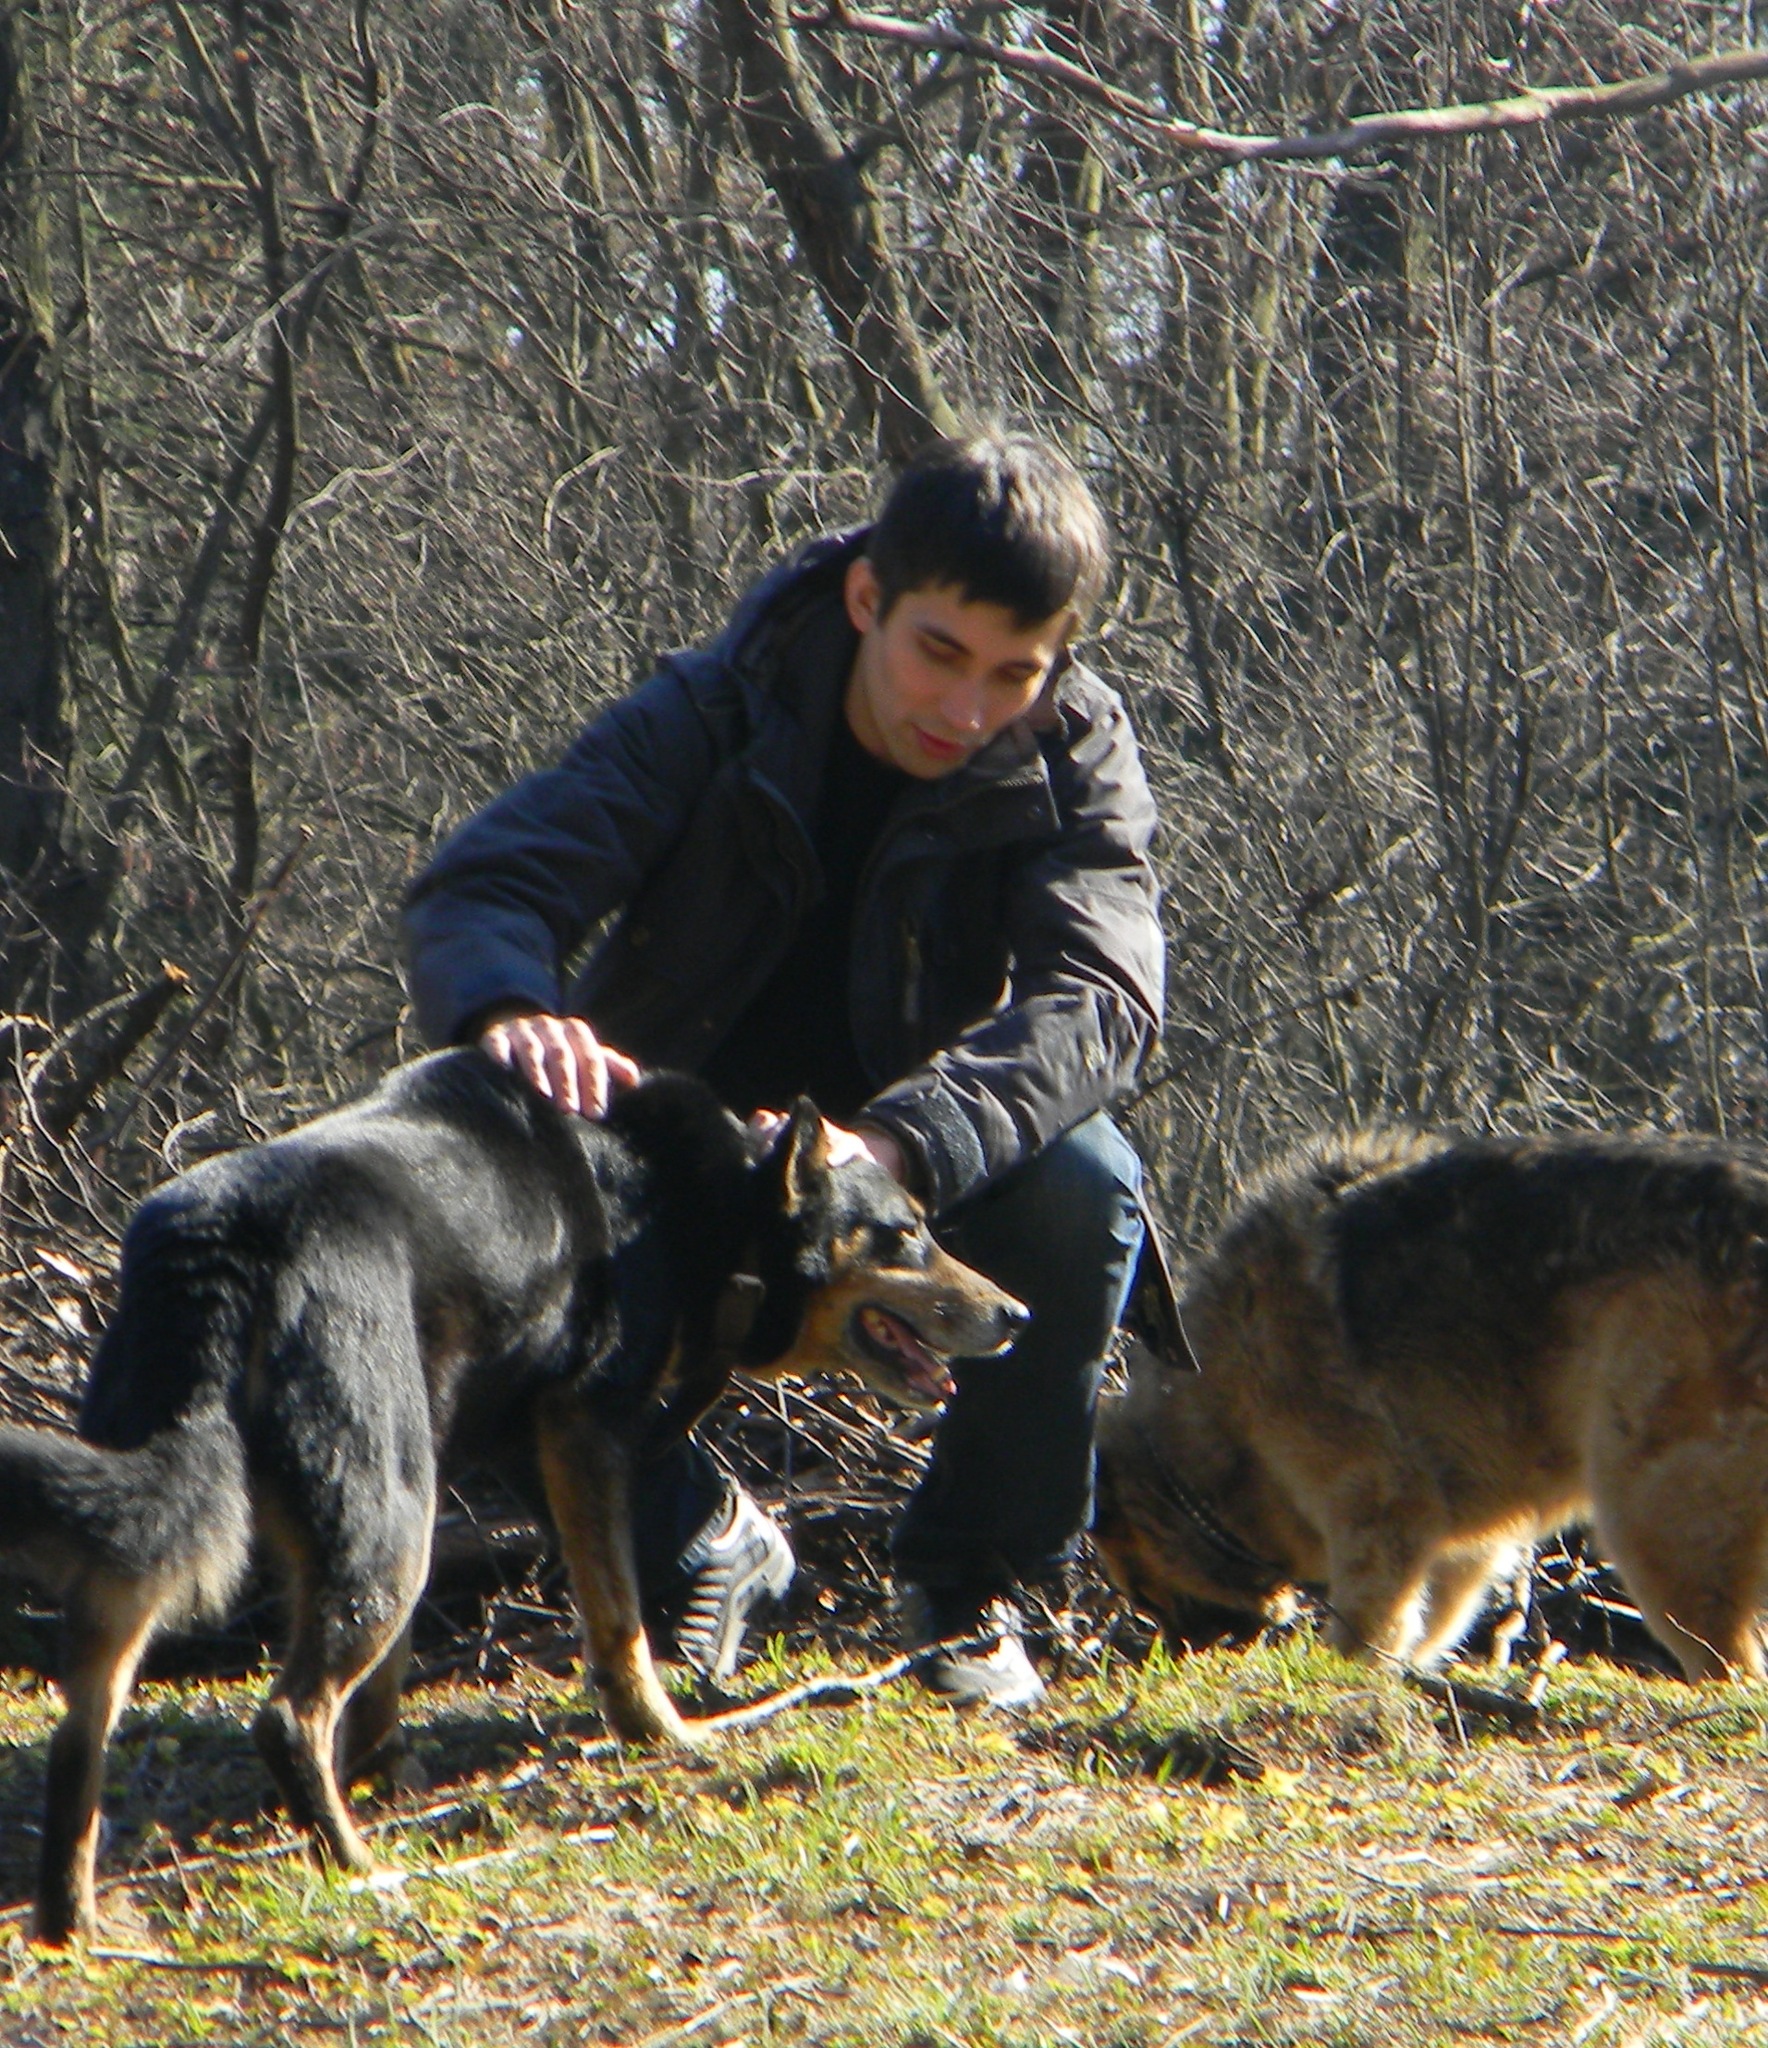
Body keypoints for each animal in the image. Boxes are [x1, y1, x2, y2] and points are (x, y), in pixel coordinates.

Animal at [0, 1048, 1026, 1942]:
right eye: (906, 1232)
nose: (1016, 1314)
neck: (702, 1205)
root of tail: (221, 1248)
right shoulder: (585, 1430)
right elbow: (617, 1619)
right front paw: (659, 1732)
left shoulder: (480, 1447)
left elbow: (396, 1675)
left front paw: (389, 1771)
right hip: (386, 1524)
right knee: (287, 1716)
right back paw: (356, 1868)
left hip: (216, 1530)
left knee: (85, 1729)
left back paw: (74, 1922)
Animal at [1094, 1126, 1768, 1687]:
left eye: (1145, 1592)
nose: (1174, 1661)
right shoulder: (1461, 1545)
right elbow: (1432, 1618)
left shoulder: (1378, 1512)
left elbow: (1370, 1625)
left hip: (1652, 1519)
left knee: (1730, 1663)